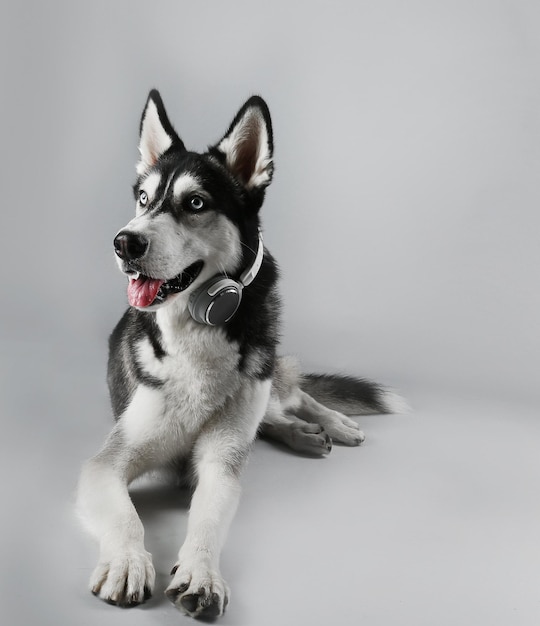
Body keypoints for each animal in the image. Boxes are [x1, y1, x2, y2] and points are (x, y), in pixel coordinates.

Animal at [77, 90, 404, 616]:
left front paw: (201, 574)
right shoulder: (107, 463)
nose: (125, 242)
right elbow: (128, 516)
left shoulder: (220, 462)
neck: (194, 334)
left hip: (266, 371)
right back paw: (303, 434)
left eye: (195, 203)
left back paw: (330, 422)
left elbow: (209, 517)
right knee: (272, 418)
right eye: (143, 199)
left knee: (293, 394)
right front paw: (128, 562)